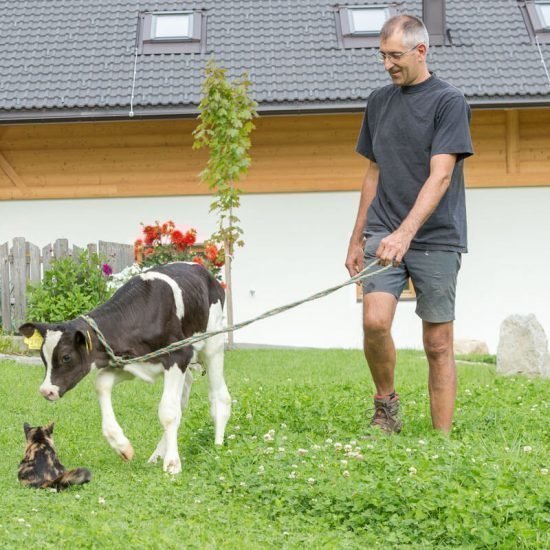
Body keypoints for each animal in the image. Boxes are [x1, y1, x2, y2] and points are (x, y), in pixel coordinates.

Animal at [18, 262, 231, 474]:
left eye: (66, 357)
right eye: (42, 357)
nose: (46, 390)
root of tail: (203, 271)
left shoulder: (179, 355)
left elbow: (168, 412)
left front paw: (172, 464)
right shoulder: (130, 363)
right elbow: (101, 383)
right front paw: (122, 446)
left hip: (213, 344)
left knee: (220, 397)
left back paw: (217, 449)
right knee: (183, 400)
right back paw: (156, 455)